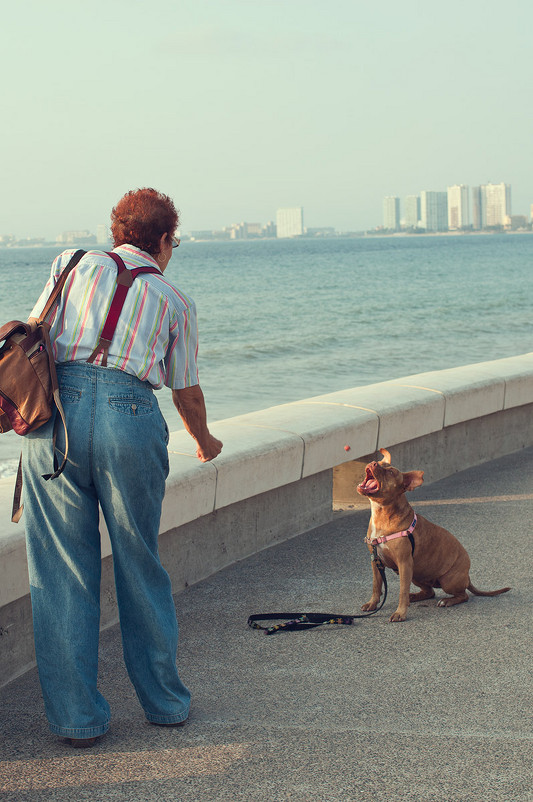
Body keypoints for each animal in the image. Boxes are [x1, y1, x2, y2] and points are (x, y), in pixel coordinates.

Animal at [356, 446, 510, 620]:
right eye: (379, 463)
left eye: (390, 472)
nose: (373, 463)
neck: (382, 515)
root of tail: (467, 575)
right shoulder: (376, 562)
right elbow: (376, 586)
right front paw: (372, 604)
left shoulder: (404, 563)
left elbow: (402, 590)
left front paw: (400, 612)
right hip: (417, 574)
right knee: (429, 592)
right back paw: (415, 596)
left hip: (446, 580)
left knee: (463, 595)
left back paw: (446, 601)